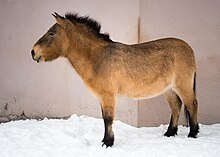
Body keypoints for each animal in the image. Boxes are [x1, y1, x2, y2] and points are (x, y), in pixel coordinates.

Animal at [31, 12, 199, 147]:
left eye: (52, 33)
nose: (33, 52)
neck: (96, 58)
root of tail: (188, 48)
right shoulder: (101, 97)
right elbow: (105, 118)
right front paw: (105, 141)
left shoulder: (108, 96)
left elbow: (108, 119)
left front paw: (108, 143)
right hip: (169, 89)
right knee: (176, 106)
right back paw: (170, 133)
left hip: (183, 86)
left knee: (192, 105)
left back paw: (193, 134)